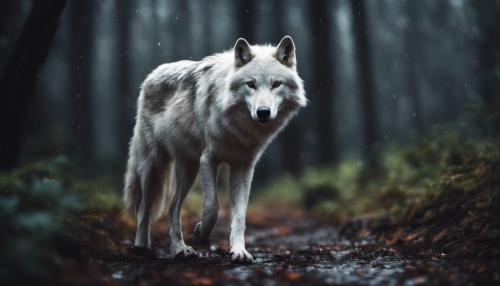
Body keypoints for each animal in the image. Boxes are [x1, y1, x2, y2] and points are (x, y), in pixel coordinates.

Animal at [123, 36, 306, 264]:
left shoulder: (243, 166)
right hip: (153, 166)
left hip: (188, 170)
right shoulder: (208, 159)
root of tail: (152, 74)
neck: (238, 129)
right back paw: (142, 246)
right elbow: (212, 207)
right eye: (251, 84)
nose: (263, 112)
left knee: (173, 208)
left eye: (276, 84)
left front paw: (239, 251)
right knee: (144, 208)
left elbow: (239, 216)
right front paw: (201, 234)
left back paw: (180, 249)